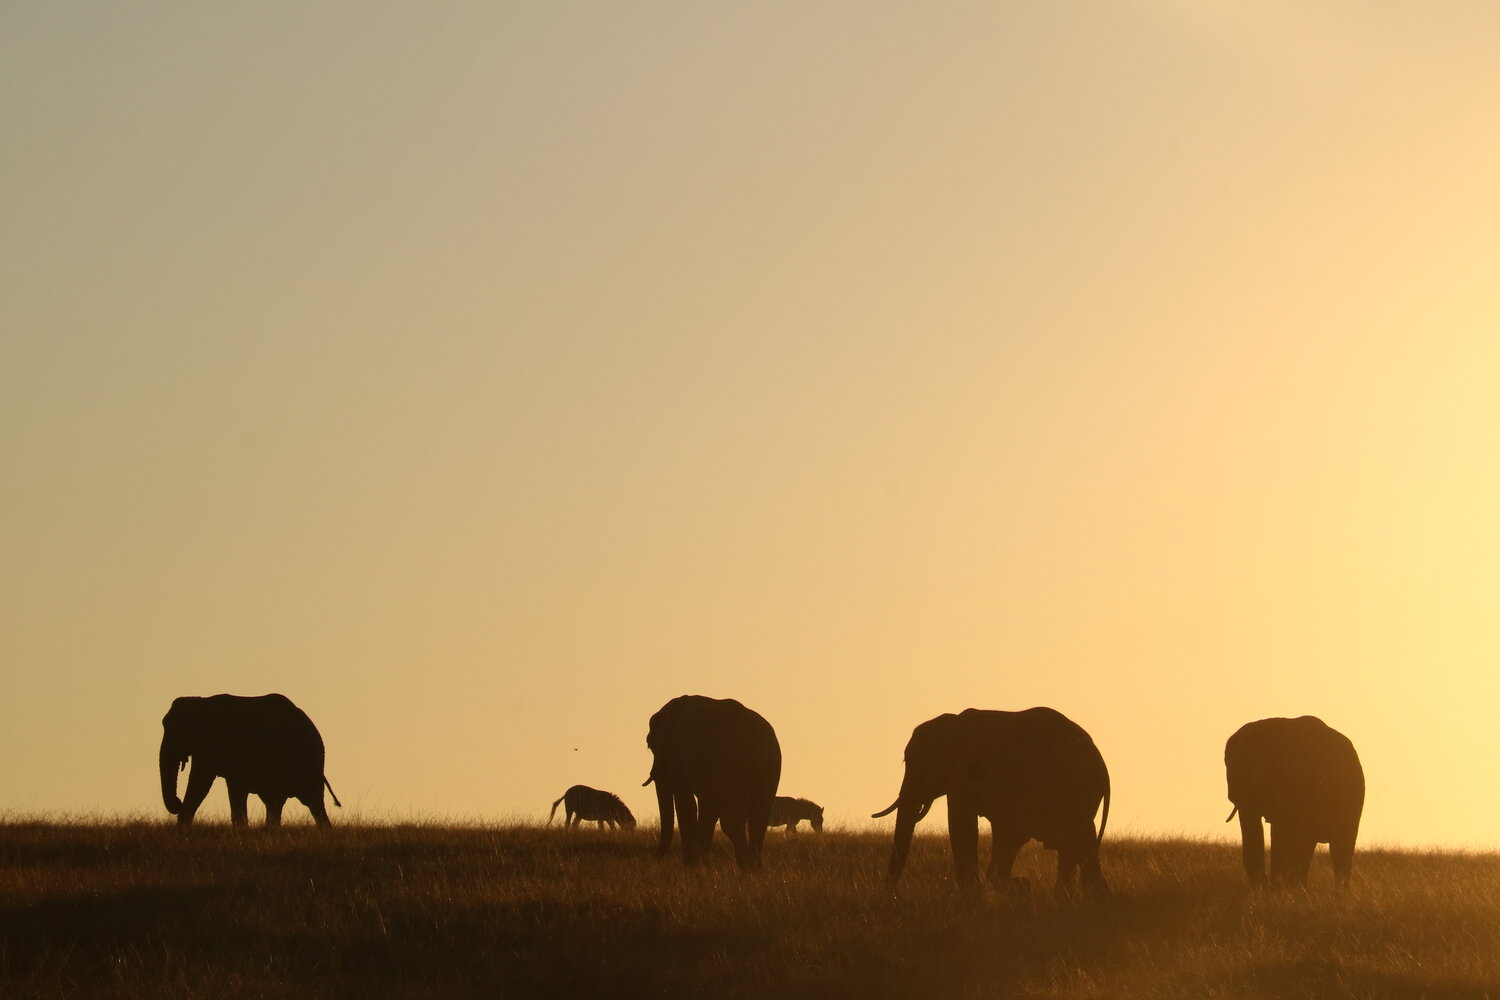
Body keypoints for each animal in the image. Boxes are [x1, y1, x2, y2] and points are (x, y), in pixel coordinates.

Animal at [159, 693, 341, 827]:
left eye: (177, 731)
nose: (177, 802)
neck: (201, 702)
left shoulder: (213, 744)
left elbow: (200, 781)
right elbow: (234, 790)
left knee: (284, 798)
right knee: (311, 803)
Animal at [643, 695, 781, 868]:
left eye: (651, 746)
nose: (653, 860)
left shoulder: (681, 756)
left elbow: (686, 804)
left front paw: (690, 866)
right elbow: (706, 808)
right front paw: (701, 865)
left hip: (734, 767)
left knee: (732, 822)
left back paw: (747, 866)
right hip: (769, 767)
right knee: (758, 820)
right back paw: (755, 867)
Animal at [872, 707, 1110, 897]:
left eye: (917, 764)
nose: (891, 894)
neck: (952, 724)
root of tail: (1101, 763)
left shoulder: (965, 776)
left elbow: (961, 826)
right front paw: (1016, 885)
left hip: (1074, 791)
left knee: (1077, 839)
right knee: (1071, 844)